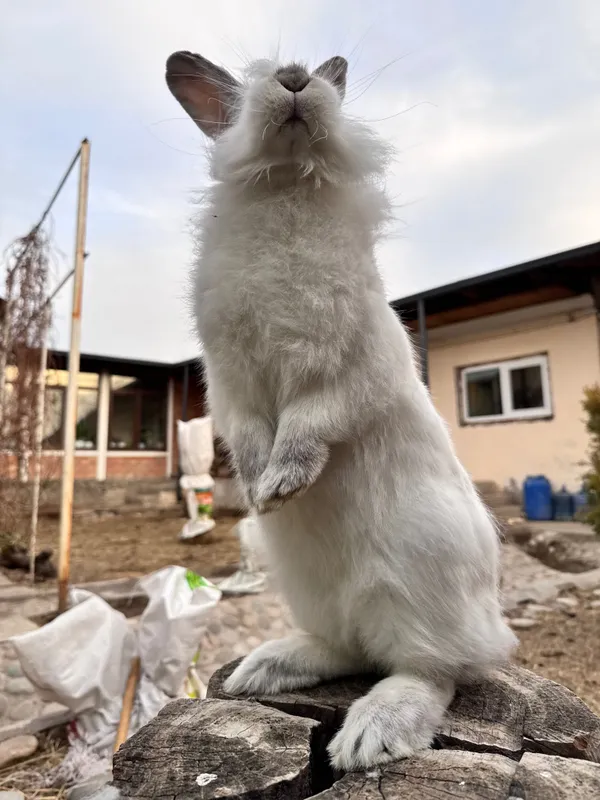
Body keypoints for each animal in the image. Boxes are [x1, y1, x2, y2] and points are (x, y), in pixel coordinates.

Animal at [165, 50, 517, 772]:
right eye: (254, 81)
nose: (297, 76)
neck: (286, 186)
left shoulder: (345, 371)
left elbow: (311, 425)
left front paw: (282, 483)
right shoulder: (232, 385)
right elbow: (249, 432)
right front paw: (260, 486)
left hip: (421, 579)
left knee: (435, 670)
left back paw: (372, 732)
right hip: (310, 590)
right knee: (349, 650)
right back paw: (266, 669)